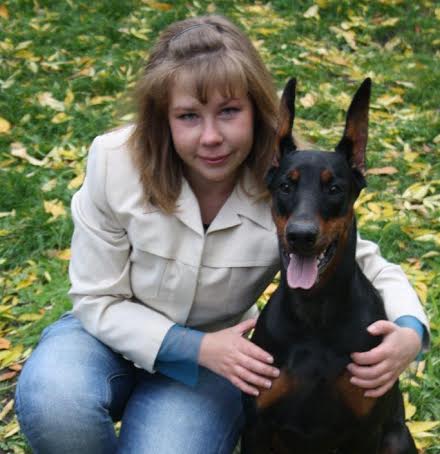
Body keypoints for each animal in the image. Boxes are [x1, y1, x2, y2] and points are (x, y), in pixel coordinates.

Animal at [241, 78, 417, 454]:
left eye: (334, 187)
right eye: (286, 185)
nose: (301, 235)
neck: (315, 317)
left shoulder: (365, 431)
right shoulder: (256, 427)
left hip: (396, 437)